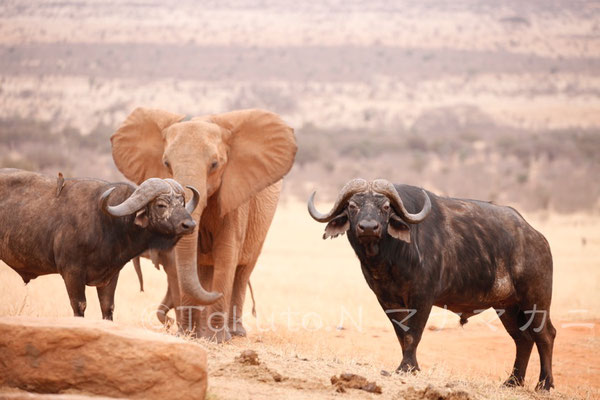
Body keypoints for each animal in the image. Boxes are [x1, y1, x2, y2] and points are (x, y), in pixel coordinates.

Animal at [110, 108, 298, 342]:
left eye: (215, 165)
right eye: (166, 164)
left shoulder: (235, 198)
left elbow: (227, 253)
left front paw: (217, 339)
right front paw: (188, 335)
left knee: (242, 271)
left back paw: (235, 333)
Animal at [310, 179, 556, 390]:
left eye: (386, 206)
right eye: (352, 205)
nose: (368, 227)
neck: (390, 258)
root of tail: (537, 238)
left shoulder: (423, 297)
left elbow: (414, 333)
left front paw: (407, 367)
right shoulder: (387, 299)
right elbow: (402, 334)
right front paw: (409, 366)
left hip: (535, 300)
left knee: (545, 335)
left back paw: (544, 384)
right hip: (506, 306)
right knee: (523, 339)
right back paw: (513, 381)